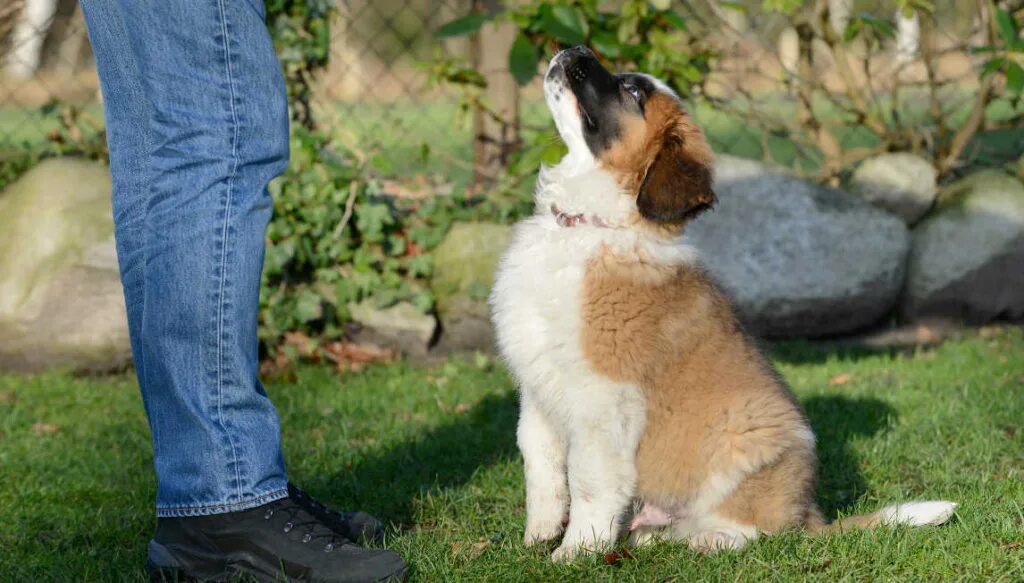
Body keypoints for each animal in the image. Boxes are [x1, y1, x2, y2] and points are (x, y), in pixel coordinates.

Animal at [487, 47, 958, 561]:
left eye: (632, 91)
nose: (575, 51)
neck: (585, 226)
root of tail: (809, 515)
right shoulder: (538, 390)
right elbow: (542, 467)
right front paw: (539, 535)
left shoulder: (604, 398)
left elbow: (589, 479)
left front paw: (576, 553)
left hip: (750, 429)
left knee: (761, 532)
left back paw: (711, 538)